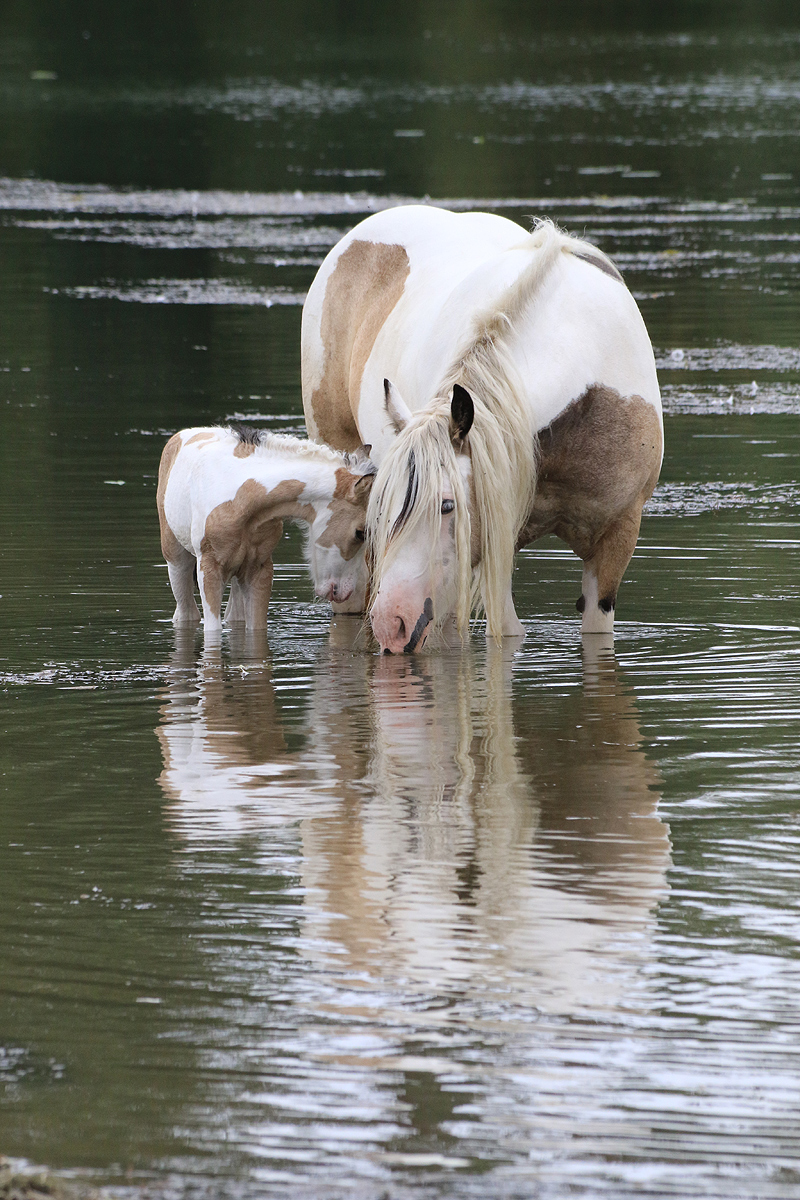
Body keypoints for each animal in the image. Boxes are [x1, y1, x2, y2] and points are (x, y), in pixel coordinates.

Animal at [157, 424, 376, 633]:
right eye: (360, 533)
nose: (343, 592)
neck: (242, 497)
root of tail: (182, 435)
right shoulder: (209, 568)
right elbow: (213, 630)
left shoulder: (259, 569)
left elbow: (256, 629)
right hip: (176, 558)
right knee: (186, 613)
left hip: (238, 569)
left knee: (234, 615)